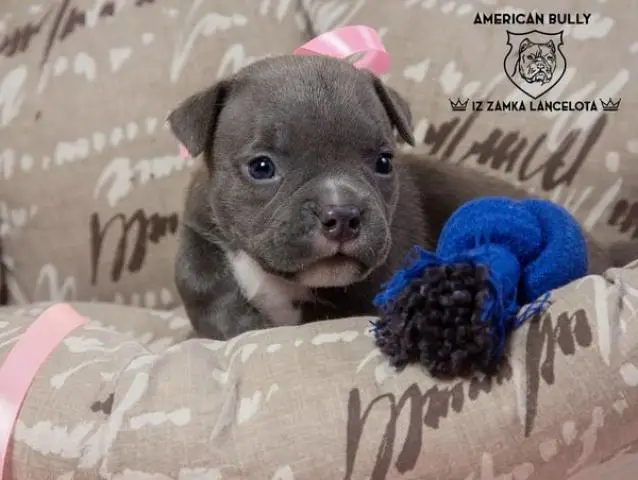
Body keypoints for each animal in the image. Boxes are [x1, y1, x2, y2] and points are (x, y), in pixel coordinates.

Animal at [170, 54, 620, 342]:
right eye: (261, 168)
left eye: (384, 162)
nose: (342, 213)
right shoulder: (199, 222)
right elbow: (197, 277)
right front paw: (237, 323)